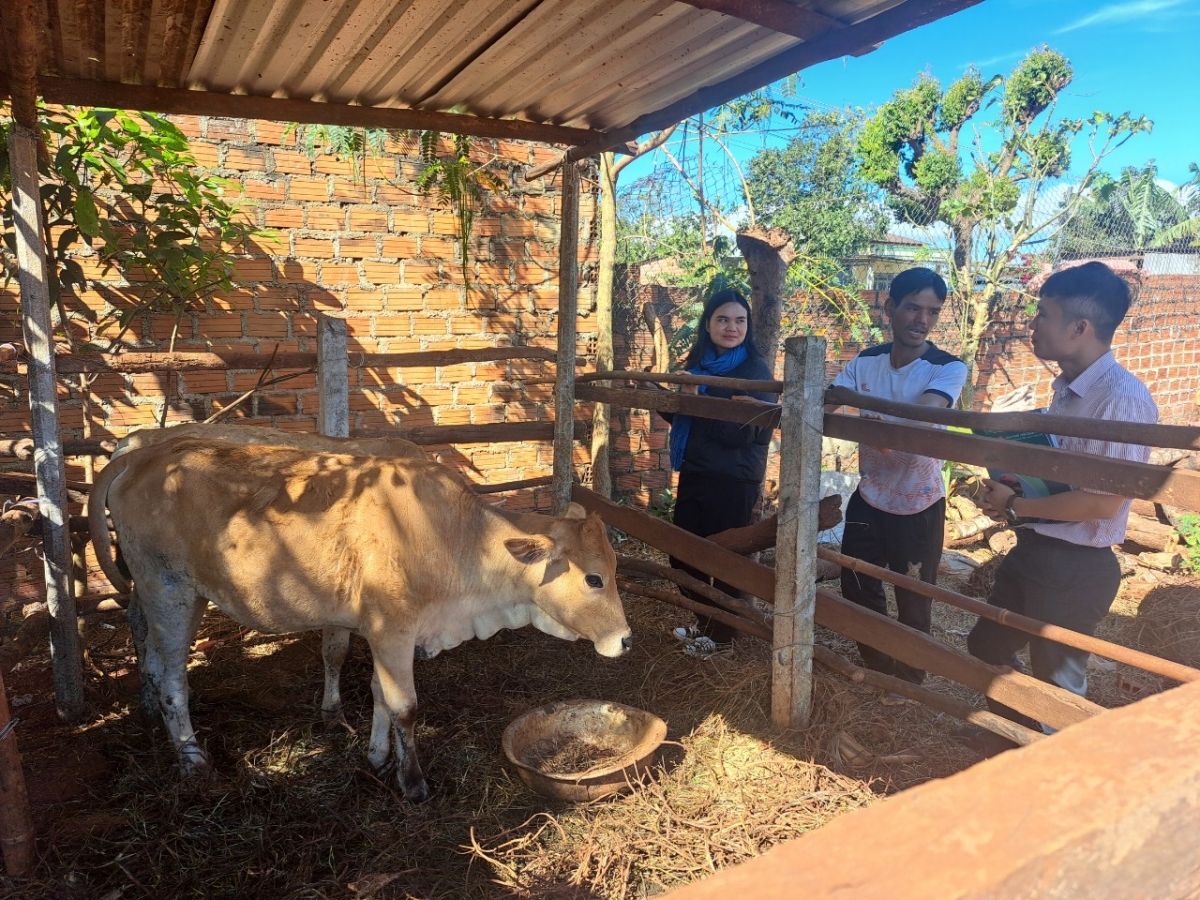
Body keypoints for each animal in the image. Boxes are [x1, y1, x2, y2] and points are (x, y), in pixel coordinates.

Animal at [88, 439, 633, 801]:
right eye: (593, 579)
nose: (626, 641)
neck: (455, 537)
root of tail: (142, 455)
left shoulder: (381, 632)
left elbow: (377, 694)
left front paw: (376, 757)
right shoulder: (393, 629)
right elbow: (404, 705)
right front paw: (412, 783)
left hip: (184, 595)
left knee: (154, 667)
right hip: (168, 591)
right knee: (171, 681)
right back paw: (193, 761)